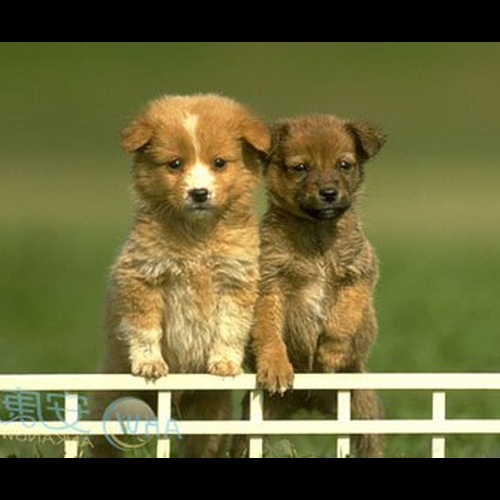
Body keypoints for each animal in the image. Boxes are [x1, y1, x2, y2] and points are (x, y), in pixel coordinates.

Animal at [93, 95, 270, 458]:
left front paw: (225, 364)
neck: (196, 239)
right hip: (110, 399)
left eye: (219, 162)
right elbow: (145, 327)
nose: (199, 193)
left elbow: (230, 326)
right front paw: (150, 364)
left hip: (211, 417)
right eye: (174, 164)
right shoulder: (142, 276)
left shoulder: (236, 281)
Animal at [244, 115, 384, 458]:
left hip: (362, 408)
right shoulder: (269, 286)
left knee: (371, 444)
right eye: (300, 167)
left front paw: (331, 354)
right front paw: (276, 367)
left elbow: (342, 319)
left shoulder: (358, 276)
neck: (317, 233)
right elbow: (268, 331)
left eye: (344, 164)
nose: (329, 192)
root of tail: (310, 399)